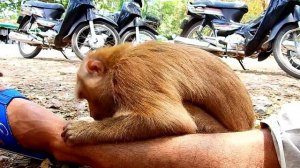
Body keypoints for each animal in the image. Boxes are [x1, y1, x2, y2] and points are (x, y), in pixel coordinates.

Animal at [61, 41, 255, 145]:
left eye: (86, 96)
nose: (93, 114)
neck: (118, 61)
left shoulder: (131, 72)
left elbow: (170, 120)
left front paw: (81, 130)